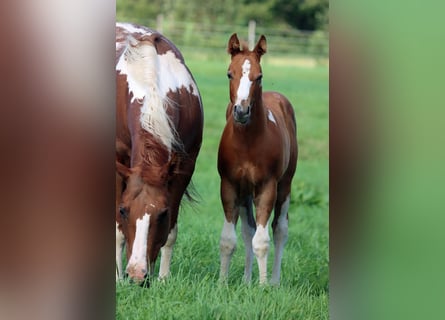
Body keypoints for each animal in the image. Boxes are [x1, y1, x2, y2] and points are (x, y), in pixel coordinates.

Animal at [115, 23, 204, 284]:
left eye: (162, 214)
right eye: (124, 210)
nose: (136, 274)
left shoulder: (185, 166)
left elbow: (171, 232)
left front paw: (163, 279)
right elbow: (117, 231)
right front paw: (118, 279)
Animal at [217, 33, 296, 284]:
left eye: (259, 76)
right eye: (229, 73)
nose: (241, 111)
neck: (248, 143)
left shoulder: (267, 186)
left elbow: (262, 241)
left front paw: (263, 287)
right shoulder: (230, 185)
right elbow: (229, 239)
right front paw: (222, 283)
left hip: (285, 185)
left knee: (280, 229)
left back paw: (274, 281)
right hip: (245, 191)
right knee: (248, 230)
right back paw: (246, 280)